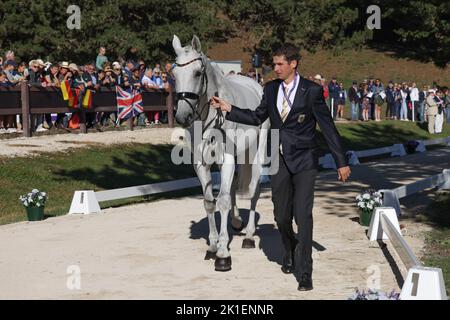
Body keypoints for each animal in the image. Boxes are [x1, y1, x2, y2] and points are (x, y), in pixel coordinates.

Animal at [172, 34, 270, 270]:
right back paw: (236, 222)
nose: (182, 117)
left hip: (256, 153)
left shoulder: (226, 159)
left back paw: (249, 236)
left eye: (197, 73)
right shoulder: (202, 163)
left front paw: (224, 253)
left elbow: (223, 201)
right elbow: (210, 202)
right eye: (173, 74)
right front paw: (213, 246)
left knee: (253, 190)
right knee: (233, 186)